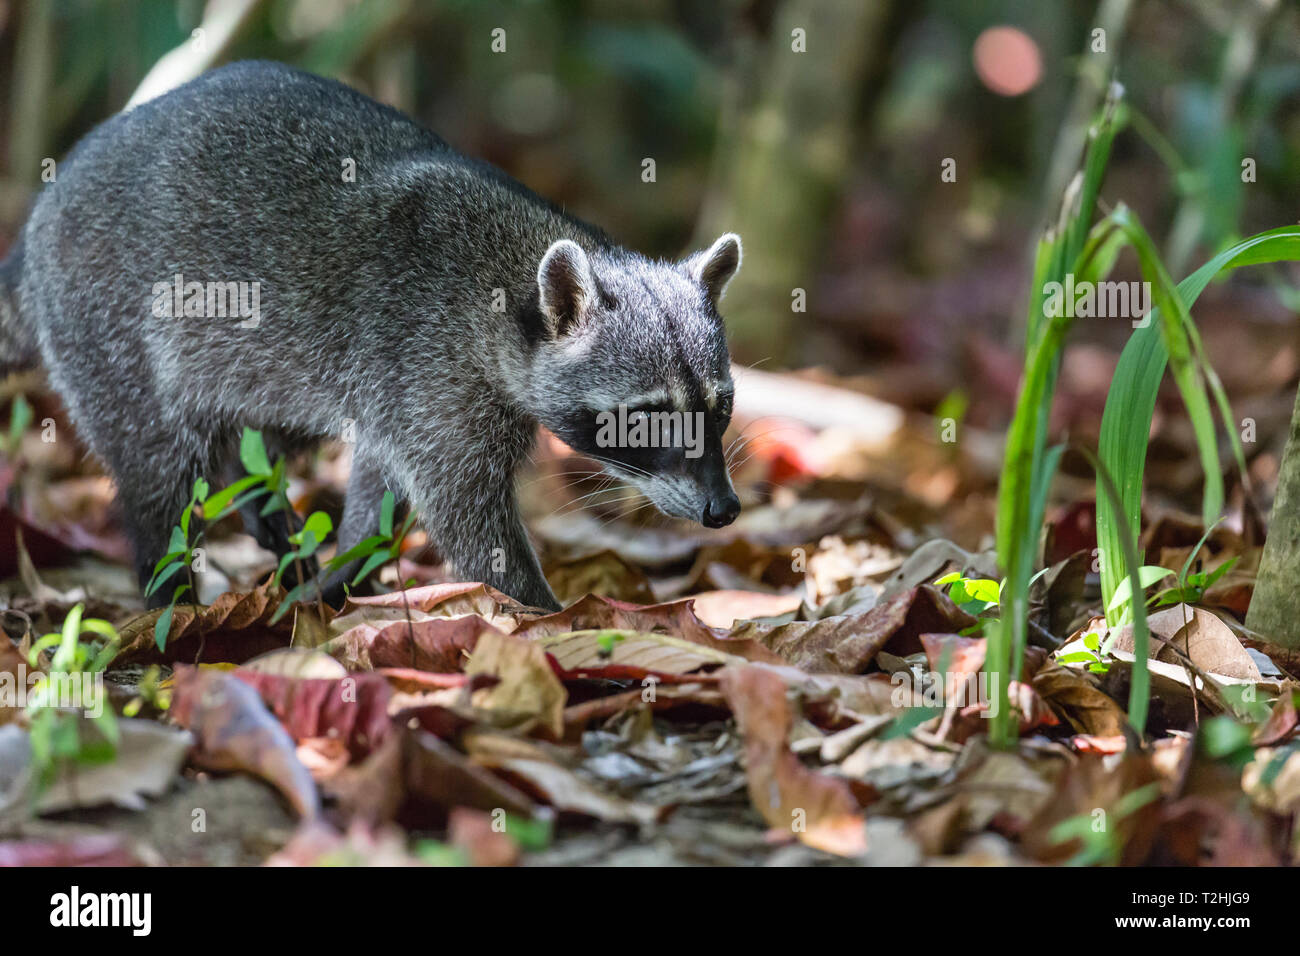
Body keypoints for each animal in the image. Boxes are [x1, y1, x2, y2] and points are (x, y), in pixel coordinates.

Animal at [0, 61, 742, 612]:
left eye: (721, 406)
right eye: (645, 418)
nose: (725, 510)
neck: (513, 279)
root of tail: (39, 221)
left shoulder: (405, 386)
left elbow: (380, 485)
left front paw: (347, 572)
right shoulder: (427, 362)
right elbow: (464, 514)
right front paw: (545, 616)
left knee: (257, 423)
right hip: (106, 319)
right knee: (157, 462)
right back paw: (170, 593)